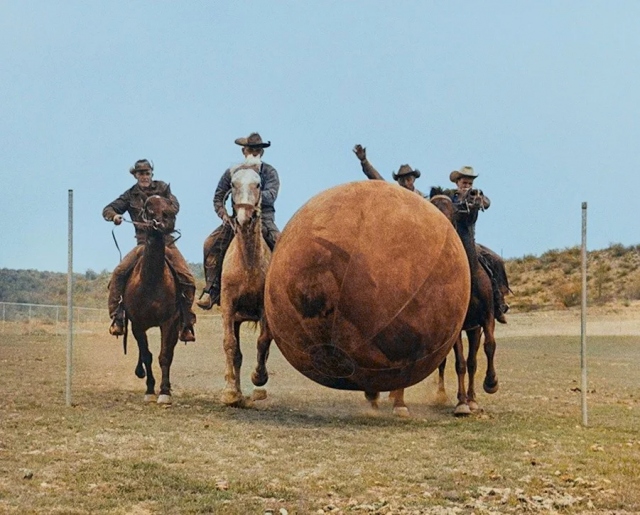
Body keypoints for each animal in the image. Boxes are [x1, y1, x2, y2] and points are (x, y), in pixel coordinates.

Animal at [122, 196, 184, 406]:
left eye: (169, 210)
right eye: (149, 210)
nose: (161, 224)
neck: (151, 280)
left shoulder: (169, 322)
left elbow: (164, 356)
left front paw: (164, 392)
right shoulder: (137, 325)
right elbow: (147, 356)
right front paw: (149, 390)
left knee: (170, 352)